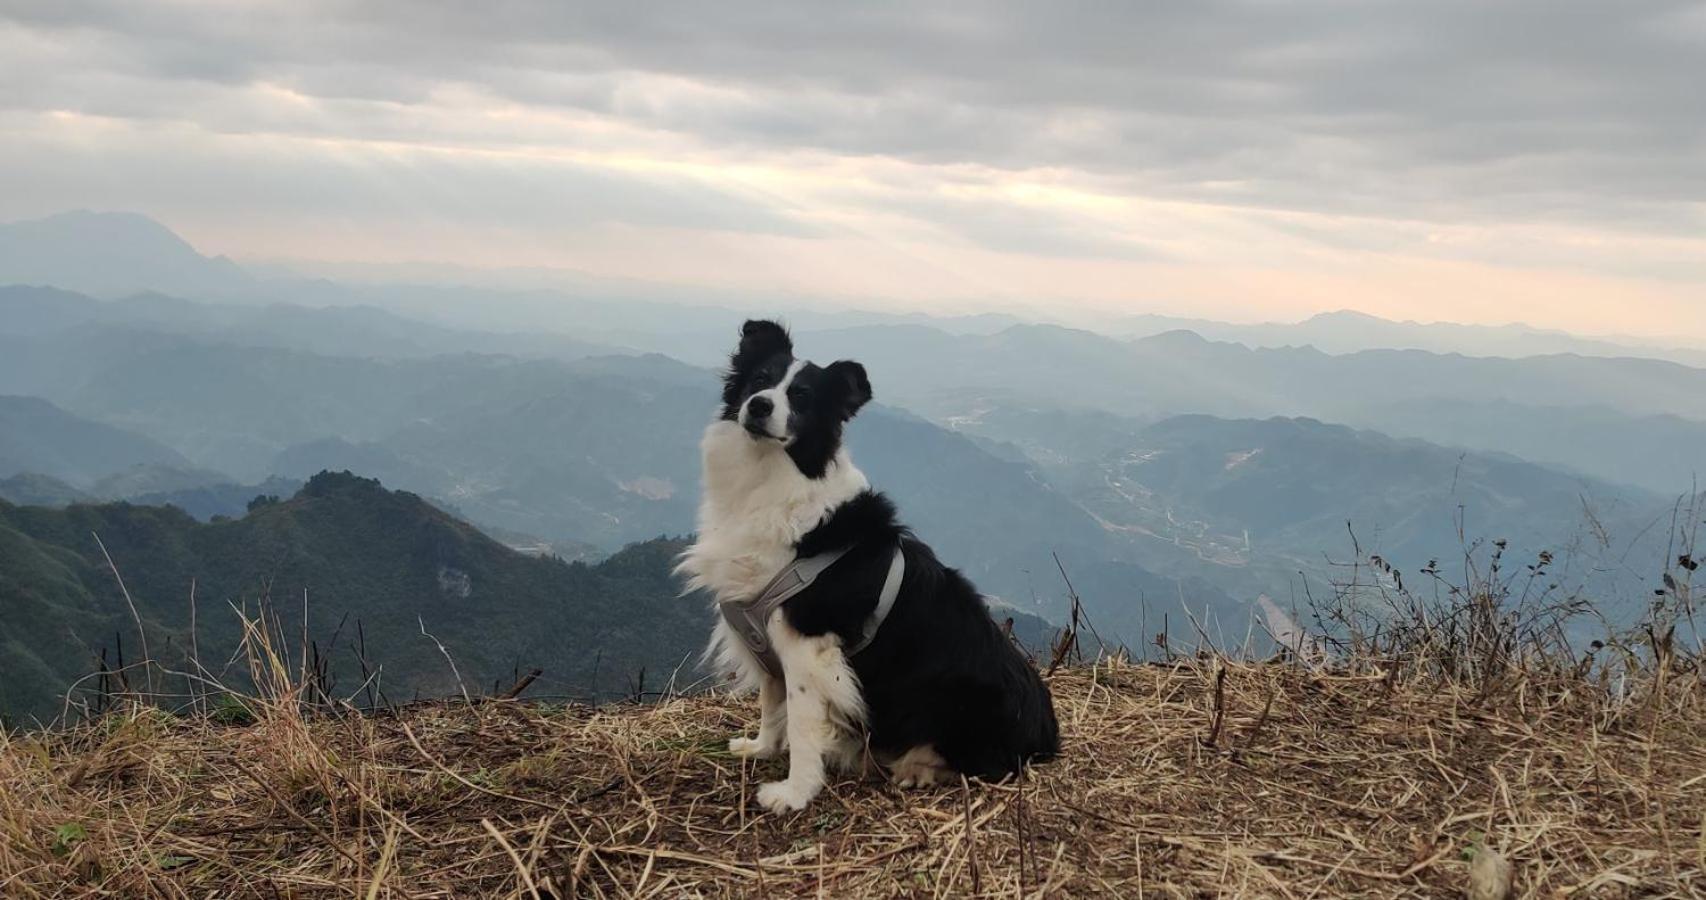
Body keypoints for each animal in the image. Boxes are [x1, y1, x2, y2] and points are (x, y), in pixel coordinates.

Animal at [675, 320, 1050, 811]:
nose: (759, 406)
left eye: (802, 397)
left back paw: (917, 767)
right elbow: (771, 703)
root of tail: (1048, 734)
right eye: (760, 379)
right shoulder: (767, 637)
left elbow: (800, 721)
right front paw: (761, 748)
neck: (774, 478)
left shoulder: (809, 644)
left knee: (982, 762)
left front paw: (795, 793)